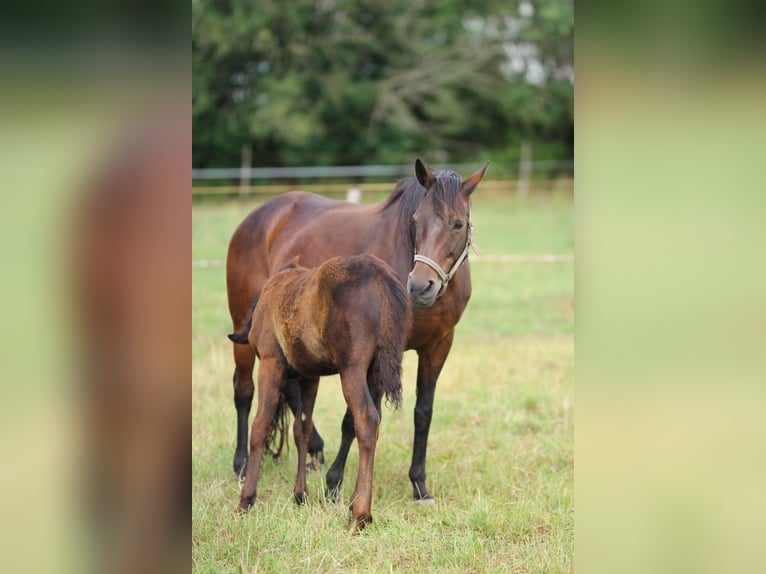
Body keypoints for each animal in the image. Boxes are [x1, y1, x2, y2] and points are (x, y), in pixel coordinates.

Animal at [228, 160, 492, 502]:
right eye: (416, 220)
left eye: (458, 224)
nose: (421, 285)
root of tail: (257, 217)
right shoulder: (375, 355)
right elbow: (355, 419)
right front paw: (334, 483)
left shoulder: (439, 345)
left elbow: (423, 412)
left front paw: (419, 485)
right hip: (244, 330)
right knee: (244, 391)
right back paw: (242, 465)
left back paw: (314, 451)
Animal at [230, 256, 414, 532]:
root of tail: (381, 278)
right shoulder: (310, 378)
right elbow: (302, 431)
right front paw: (300, 495)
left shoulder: (271, 362)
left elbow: (260, 427)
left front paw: (246, 500)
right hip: (373, 372)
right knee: (375, 418)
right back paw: (355, 503)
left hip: (351, 369)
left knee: (367, 419)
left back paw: (360, 514)